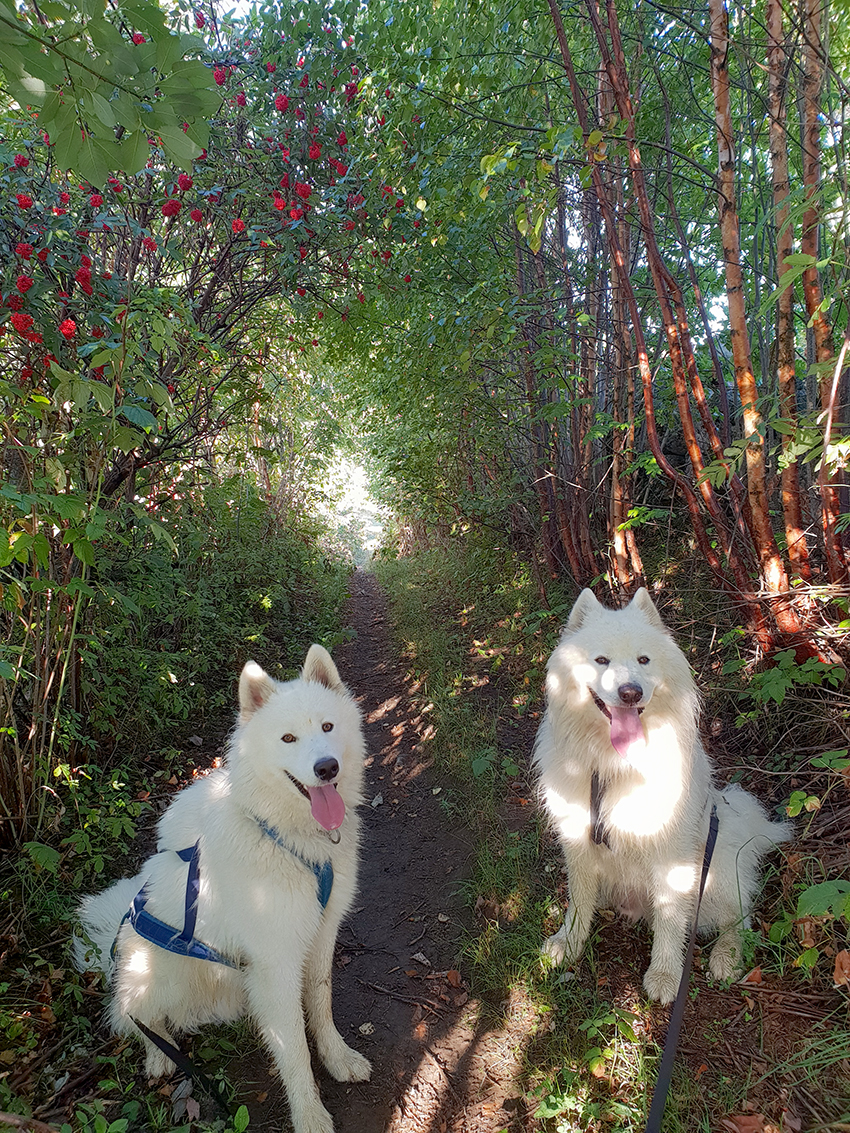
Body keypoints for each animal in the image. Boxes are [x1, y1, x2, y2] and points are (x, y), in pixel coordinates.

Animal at [75, 648, 371, 1133]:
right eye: (288, 738)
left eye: (328, 727)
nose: (327, 767)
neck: (286, 837)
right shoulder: (276, 961)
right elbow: (294, 1049)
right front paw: (309, 1114)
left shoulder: (320, 935)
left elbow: (321, 1005)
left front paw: (338, 1058)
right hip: (160, 972)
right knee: (133, 1014)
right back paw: (158, 1055)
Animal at [534, 589, 797, 1006]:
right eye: (601, 660)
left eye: (644, 660)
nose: (631, 692)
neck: (613, 765)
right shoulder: (578, 841)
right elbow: (578, 900)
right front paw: (568, 944)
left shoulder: (670, 850)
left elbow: (672, 919)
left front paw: (665, 975)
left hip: (718, 860)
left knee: (738, 918)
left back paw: (725, 957)